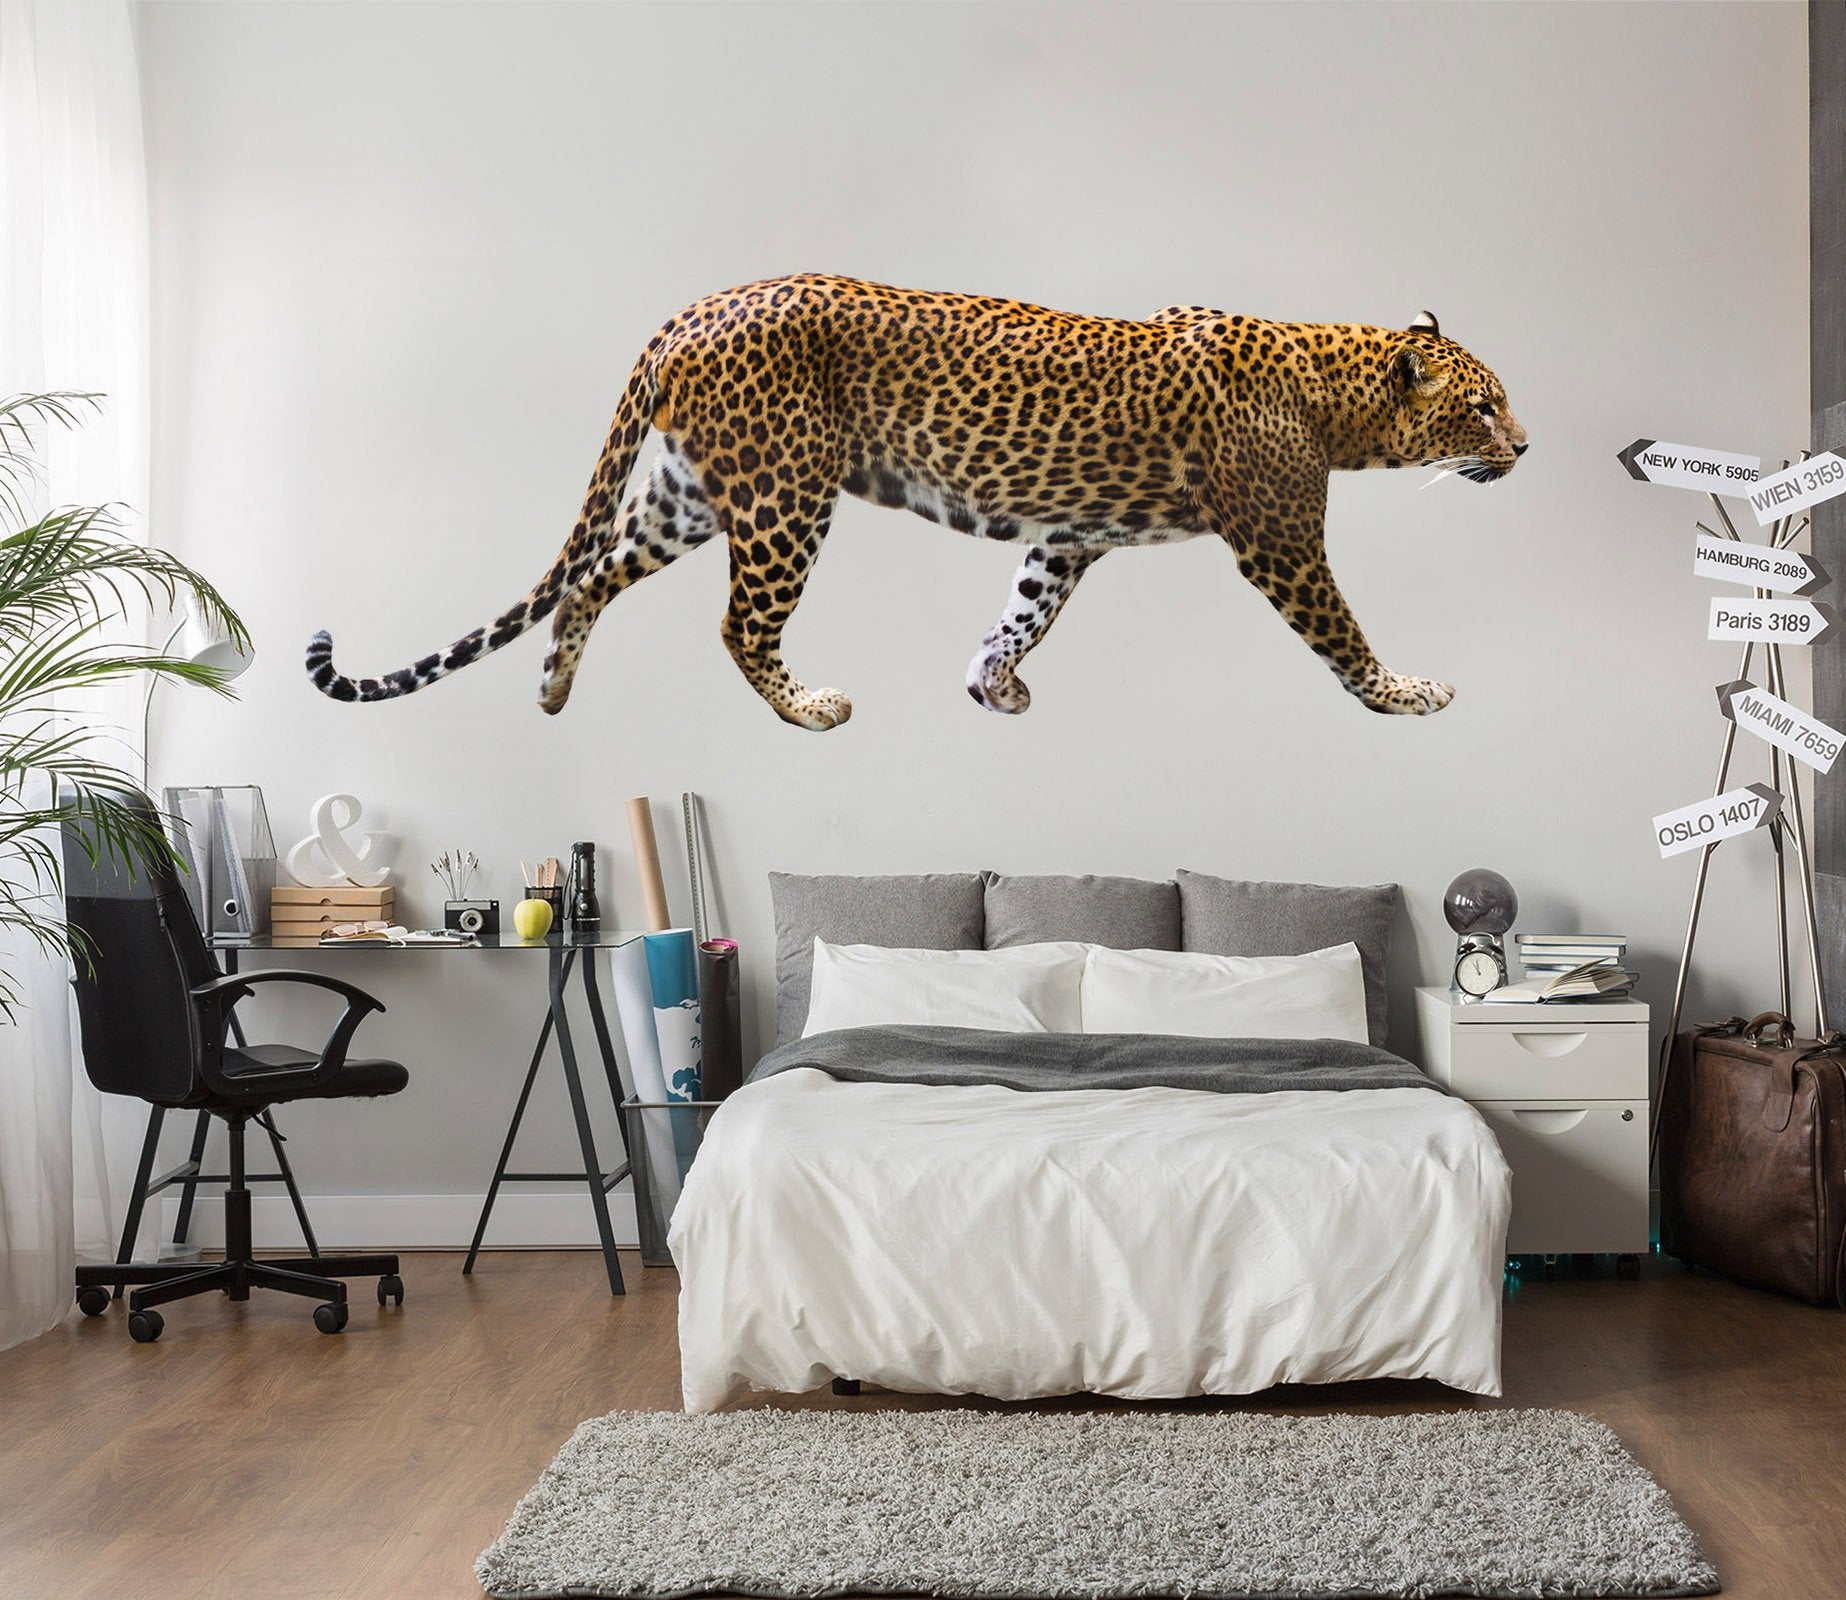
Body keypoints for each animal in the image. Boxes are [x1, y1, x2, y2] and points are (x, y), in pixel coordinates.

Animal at [306, 274, 1526, 728]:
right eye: (1481, 406)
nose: (1526, 445)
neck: (1336, 391)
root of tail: (691, 308)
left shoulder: (1066, 537)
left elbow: (1025, 609)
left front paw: (994, 681)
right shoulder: (1279, 540)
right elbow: (1342, 628)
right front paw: (1403, 691)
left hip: (688, 494)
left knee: (592, 576)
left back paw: (556, 685)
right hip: (784, 496)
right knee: (737, 623)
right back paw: (806, 706)